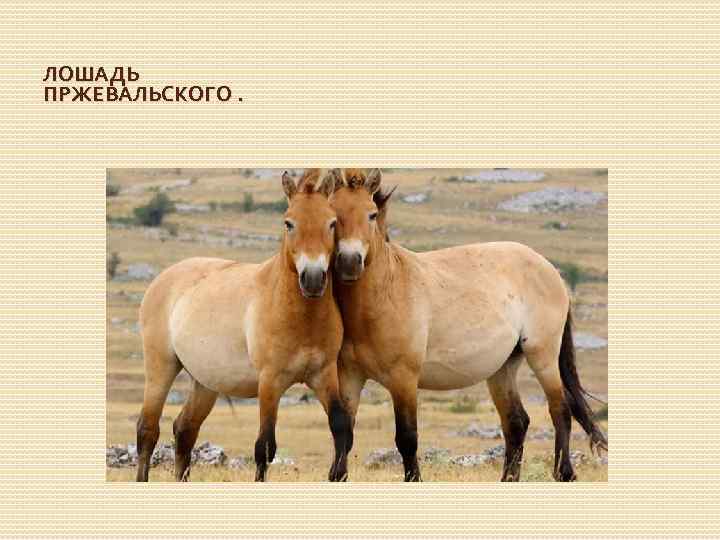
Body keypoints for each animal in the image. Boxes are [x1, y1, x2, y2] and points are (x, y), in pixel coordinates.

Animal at [134, 169, 352, 482]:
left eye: (332, 223)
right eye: (289, 223)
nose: (312, 279)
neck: (301, 318)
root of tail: (163, 277)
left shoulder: (323, 375)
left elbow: (341, 427)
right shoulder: (270, 382)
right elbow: (265, 446)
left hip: (205, 382)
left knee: (185, 430)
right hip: (160, 367)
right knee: (147, 431)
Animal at [328, 168, 607, 482]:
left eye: (372, 214)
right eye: (333, 213)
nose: (349, 262)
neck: (385, 294)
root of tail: (550, 269)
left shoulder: (404, 380)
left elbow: (407, 438)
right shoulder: (350, 377)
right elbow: (344, 433)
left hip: (542, 356)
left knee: (560, 410)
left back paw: (564, 473)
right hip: (502, 368)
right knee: (516, 422)